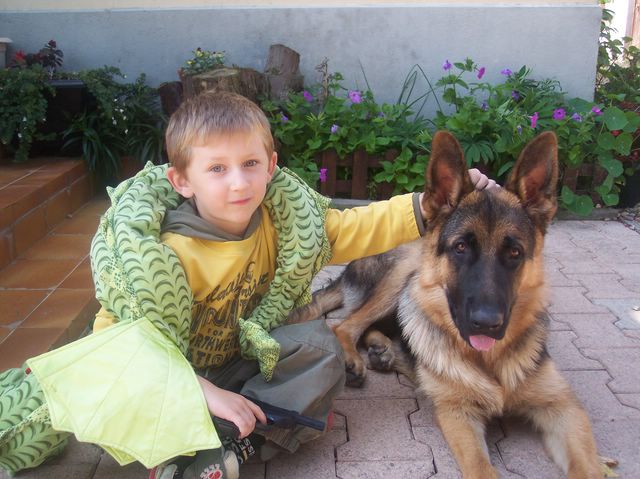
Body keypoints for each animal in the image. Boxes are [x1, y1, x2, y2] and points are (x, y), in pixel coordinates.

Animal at [288, 131, 603, 478]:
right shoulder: (458, 415)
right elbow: (481, 469)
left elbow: (590, 468)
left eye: (515, 253)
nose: (486, 323)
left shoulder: (563, 408)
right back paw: (358, 358)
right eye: (460, 247)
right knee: (346, 324)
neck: (488, 361)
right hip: (405, 273)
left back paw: (384, 350)